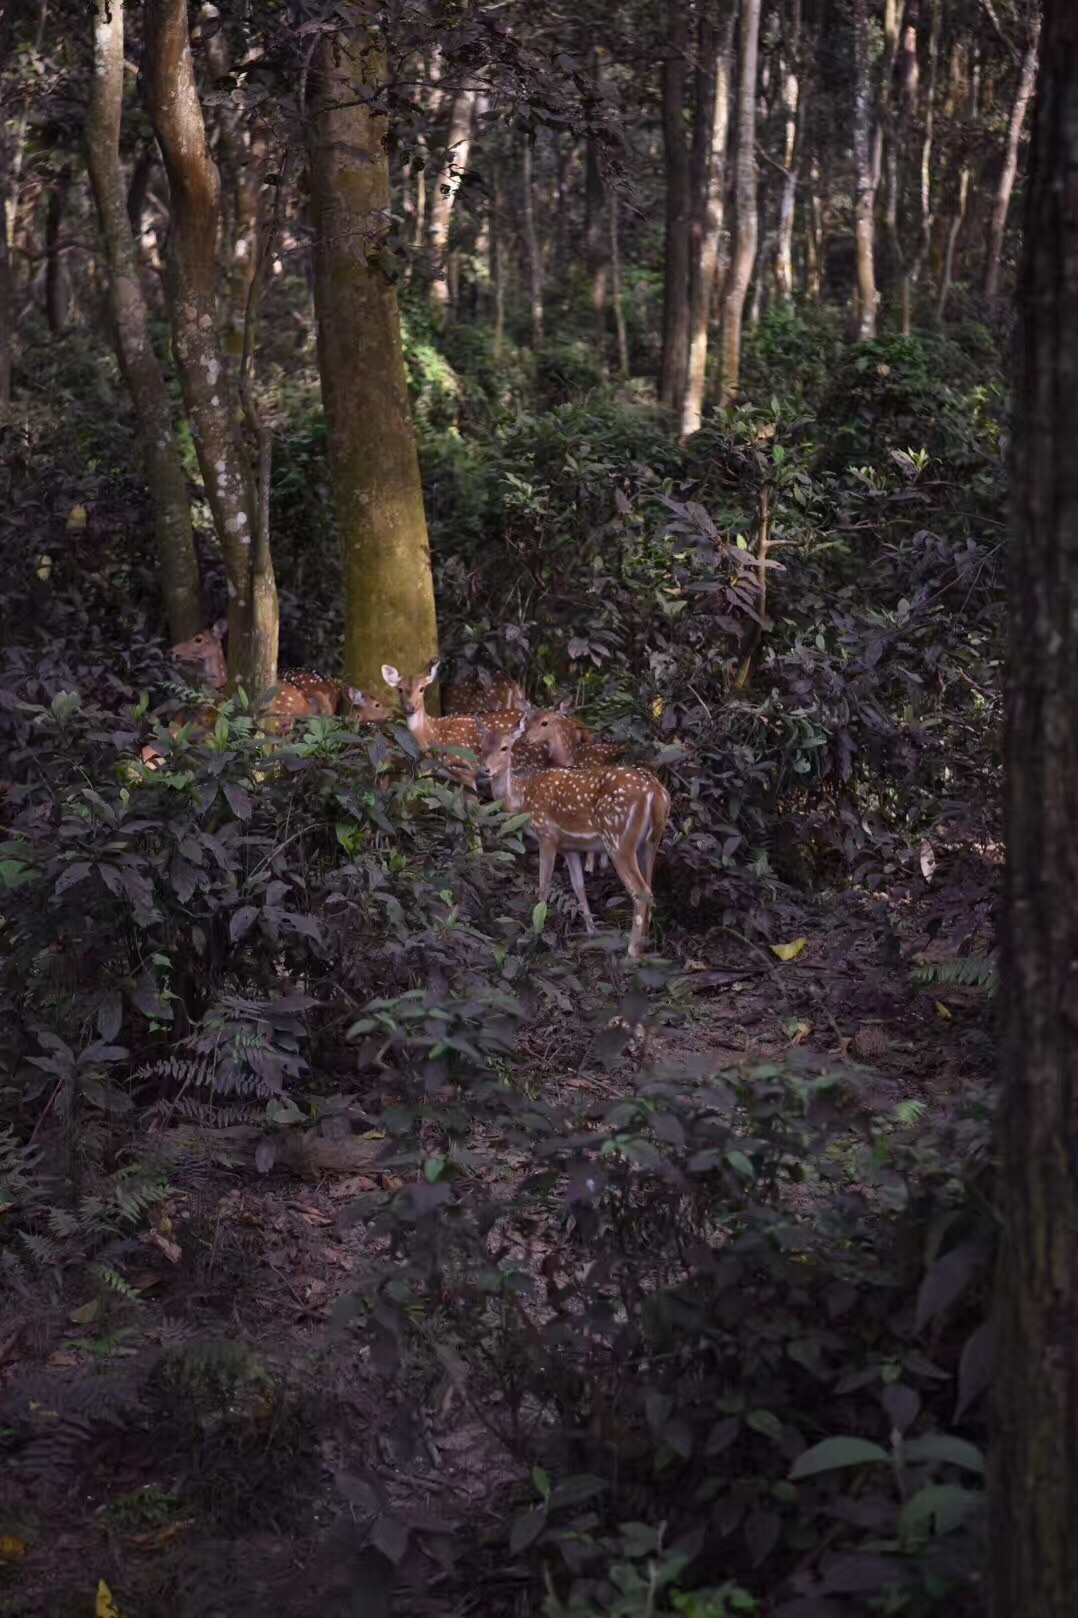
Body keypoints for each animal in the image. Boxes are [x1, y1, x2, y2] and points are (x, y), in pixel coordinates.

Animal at [475, 715, 666, 951]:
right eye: (481, 747)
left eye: (505, 747)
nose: (485, 770)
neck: (522, 800)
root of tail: (656, 791)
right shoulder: (569, 847)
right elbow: (578, 886)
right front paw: (591, 930)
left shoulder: (546, 834)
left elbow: (544, 886)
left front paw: (536, 933)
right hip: (650, 841)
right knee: (650, 887)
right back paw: (645, 944)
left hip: (619, 839)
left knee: (641, 892)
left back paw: (631, 952)